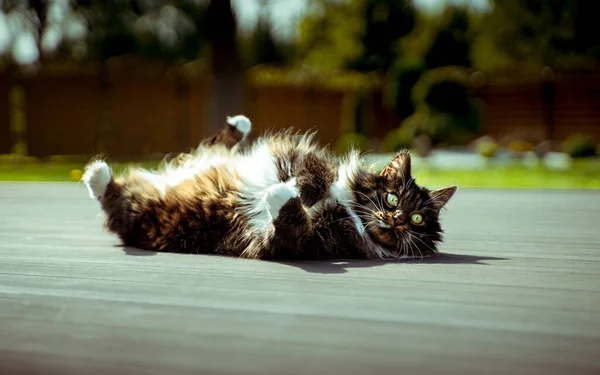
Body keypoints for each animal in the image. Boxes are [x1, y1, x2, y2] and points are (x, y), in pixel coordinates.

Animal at [81, 116, 454, 260]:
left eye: (418, 220)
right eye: (391, 198)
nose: (397, 219)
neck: (352, 215)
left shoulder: (296, 244)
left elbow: (291, 222)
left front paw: (279, 195)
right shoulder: (301, 159)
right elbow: (312, 177)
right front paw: (298, 190)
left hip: (141, 212)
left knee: (113, 200)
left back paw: (96, 171)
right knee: (215, 144)